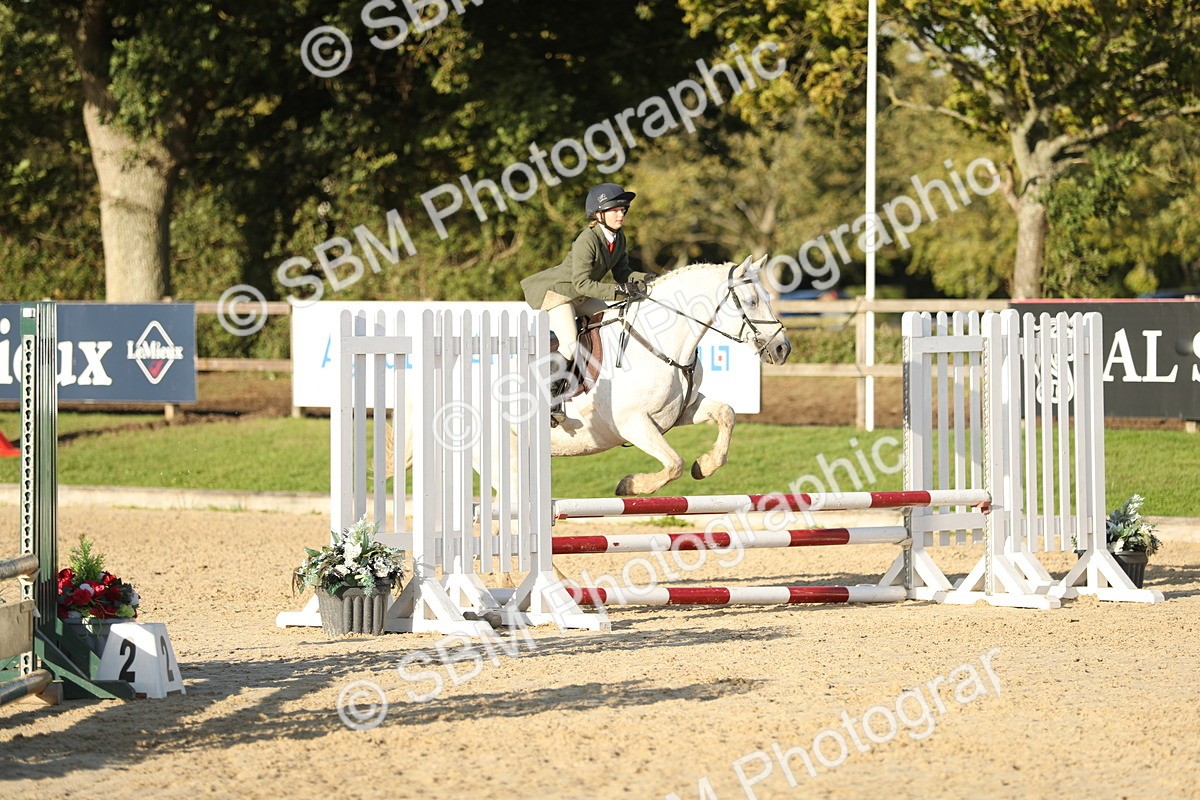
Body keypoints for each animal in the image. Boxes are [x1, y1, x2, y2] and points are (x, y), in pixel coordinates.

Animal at [389, 255, 791, 495]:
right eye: (751, 301)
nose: (782, 349)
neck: (663, 341)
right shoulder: (633, 424)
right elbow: (673, 464)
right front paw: (630, 485)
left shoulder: (680, 413)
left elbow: (726, 414)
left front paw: (705, 466)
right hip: (498, 454)